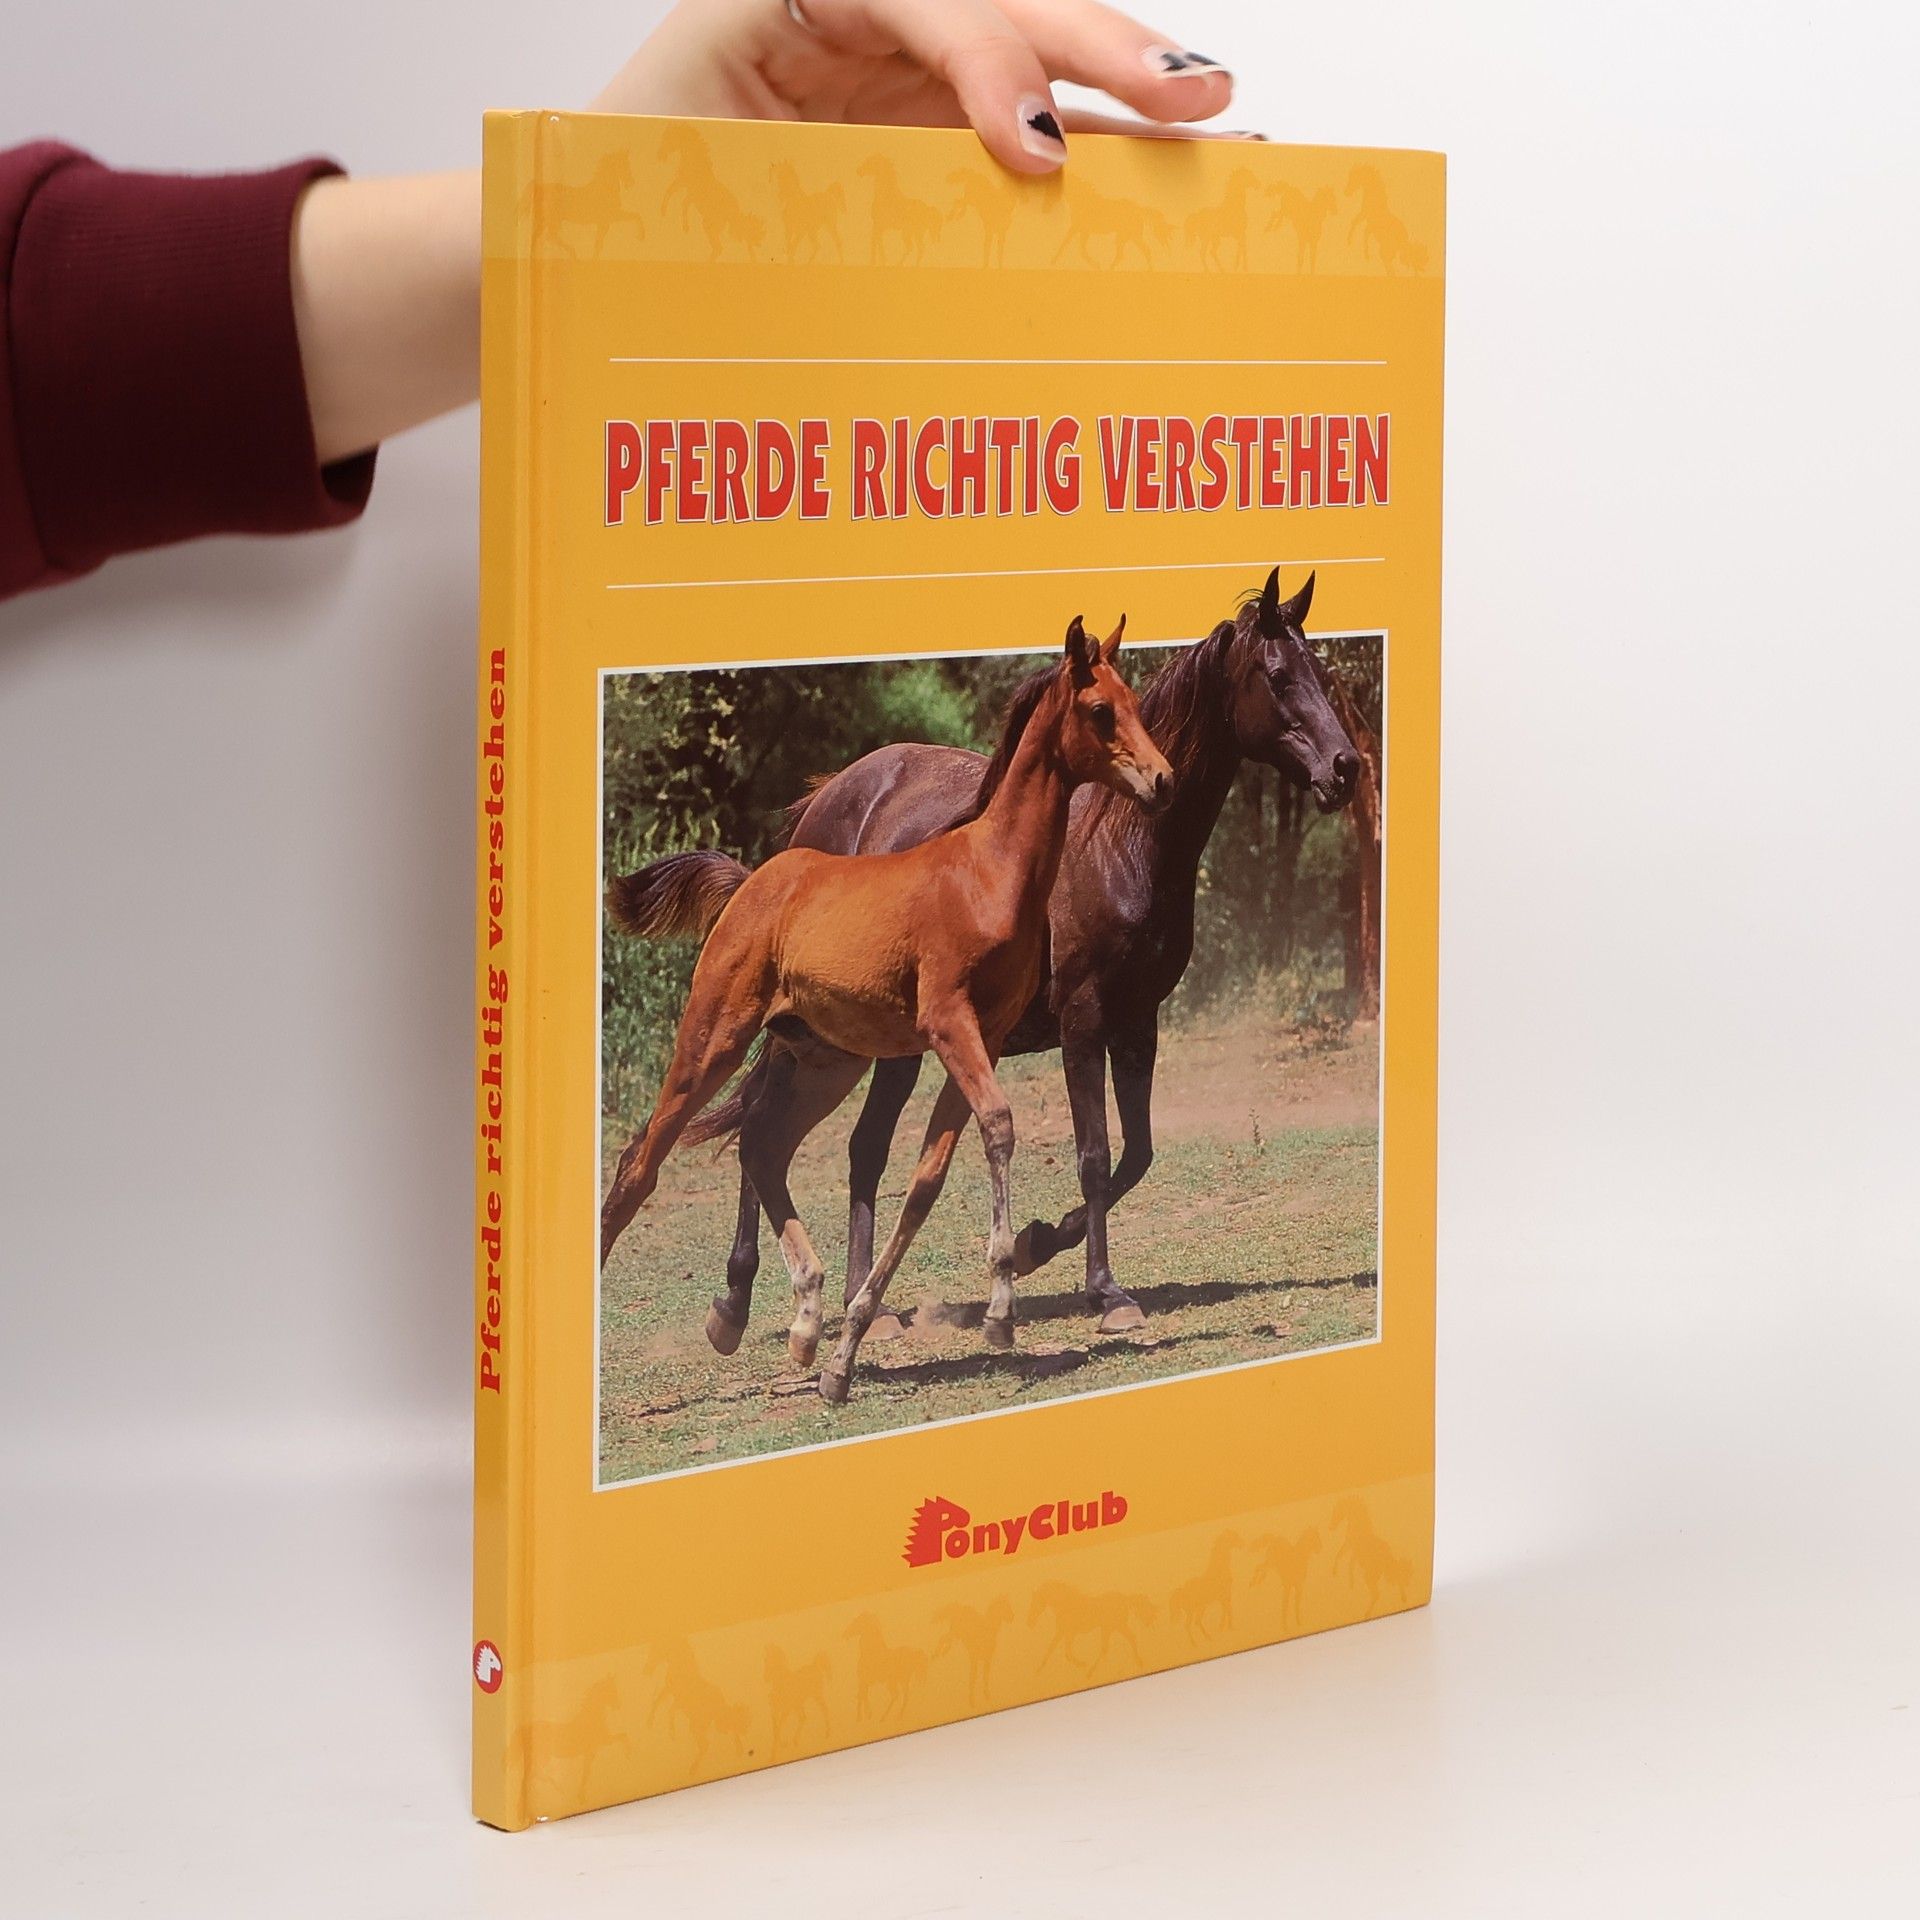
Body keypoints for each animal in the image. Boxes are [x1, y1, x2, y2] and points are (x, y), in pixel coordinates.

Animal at [598, 617, 1171, 1404]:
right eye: (1098, 711)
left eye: (1136, 703)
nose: (1163, 780)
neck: (989, 873)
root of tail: (753, 882)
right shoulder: (948, 1024)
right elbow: (999, 1127)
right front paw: (1000, 1308)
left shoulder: (984, 1036)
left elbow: (927, 1180)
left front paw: (846, 1356)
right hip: (714, 1038)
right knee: (640, 1165)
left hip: (824, 1060)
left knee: (762, 1145)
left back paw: (806, 1321)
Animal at [676, 567, 1358, 1343]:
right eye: (1277, 675)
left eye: (1319, 670)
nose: (1346, 767)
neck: (1118, 841)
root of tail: (824, 807)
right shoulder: (1084, 1020)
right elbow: (1095, 1155)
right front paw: (1106, 1292)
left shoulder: (1138, 1021)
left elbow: (1137, 1154)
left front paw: (1035, 1244)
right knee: (771, 1124)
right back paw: (738, 1304)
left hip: (888, 1049)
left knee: (855, 1147)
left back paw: (855, 1307)